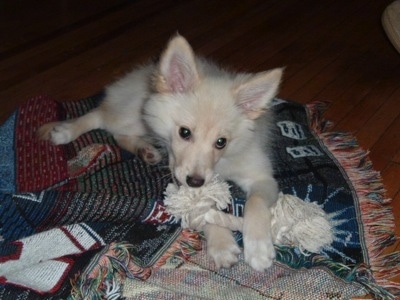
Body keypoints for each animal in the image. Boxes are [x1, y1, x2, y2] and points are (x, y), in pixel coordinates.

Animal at [36, 35, 282, 272]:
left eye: (221, 143)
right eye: (184, 132)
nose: (195, 181)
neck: (221, 164)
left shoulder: (262, 177)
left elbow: (255, 203)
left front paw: (258, 247)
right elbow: (205, 209)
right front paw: (222, 245)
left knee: (117, 134)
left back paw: (146, 151)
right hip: (135, 115)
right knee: (101, 116)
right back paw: (66, 131)